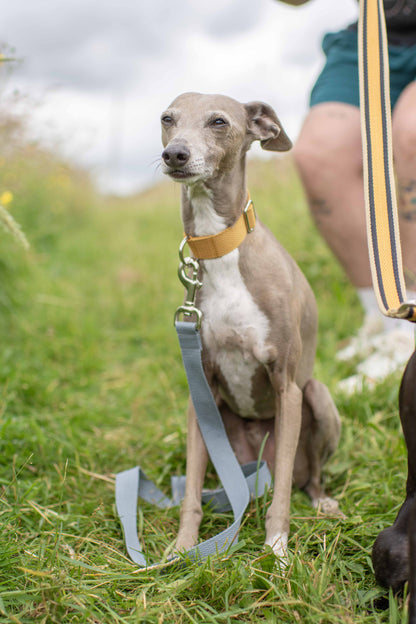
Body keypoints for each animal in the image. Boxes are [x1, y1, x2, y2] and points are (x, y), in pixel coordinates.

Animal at [160, 90, 342, 560]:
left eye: (219, 122)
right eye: (168, 118)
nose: (175, 154)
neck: (221, 250)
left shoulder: (286, 386)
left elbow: (282, 500)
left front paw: (276, 550)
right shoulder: (199, 390)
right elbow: (190, 494)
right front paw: (182, 549)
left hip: (317, 399)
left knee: (304, 479)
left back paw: (322, 502)